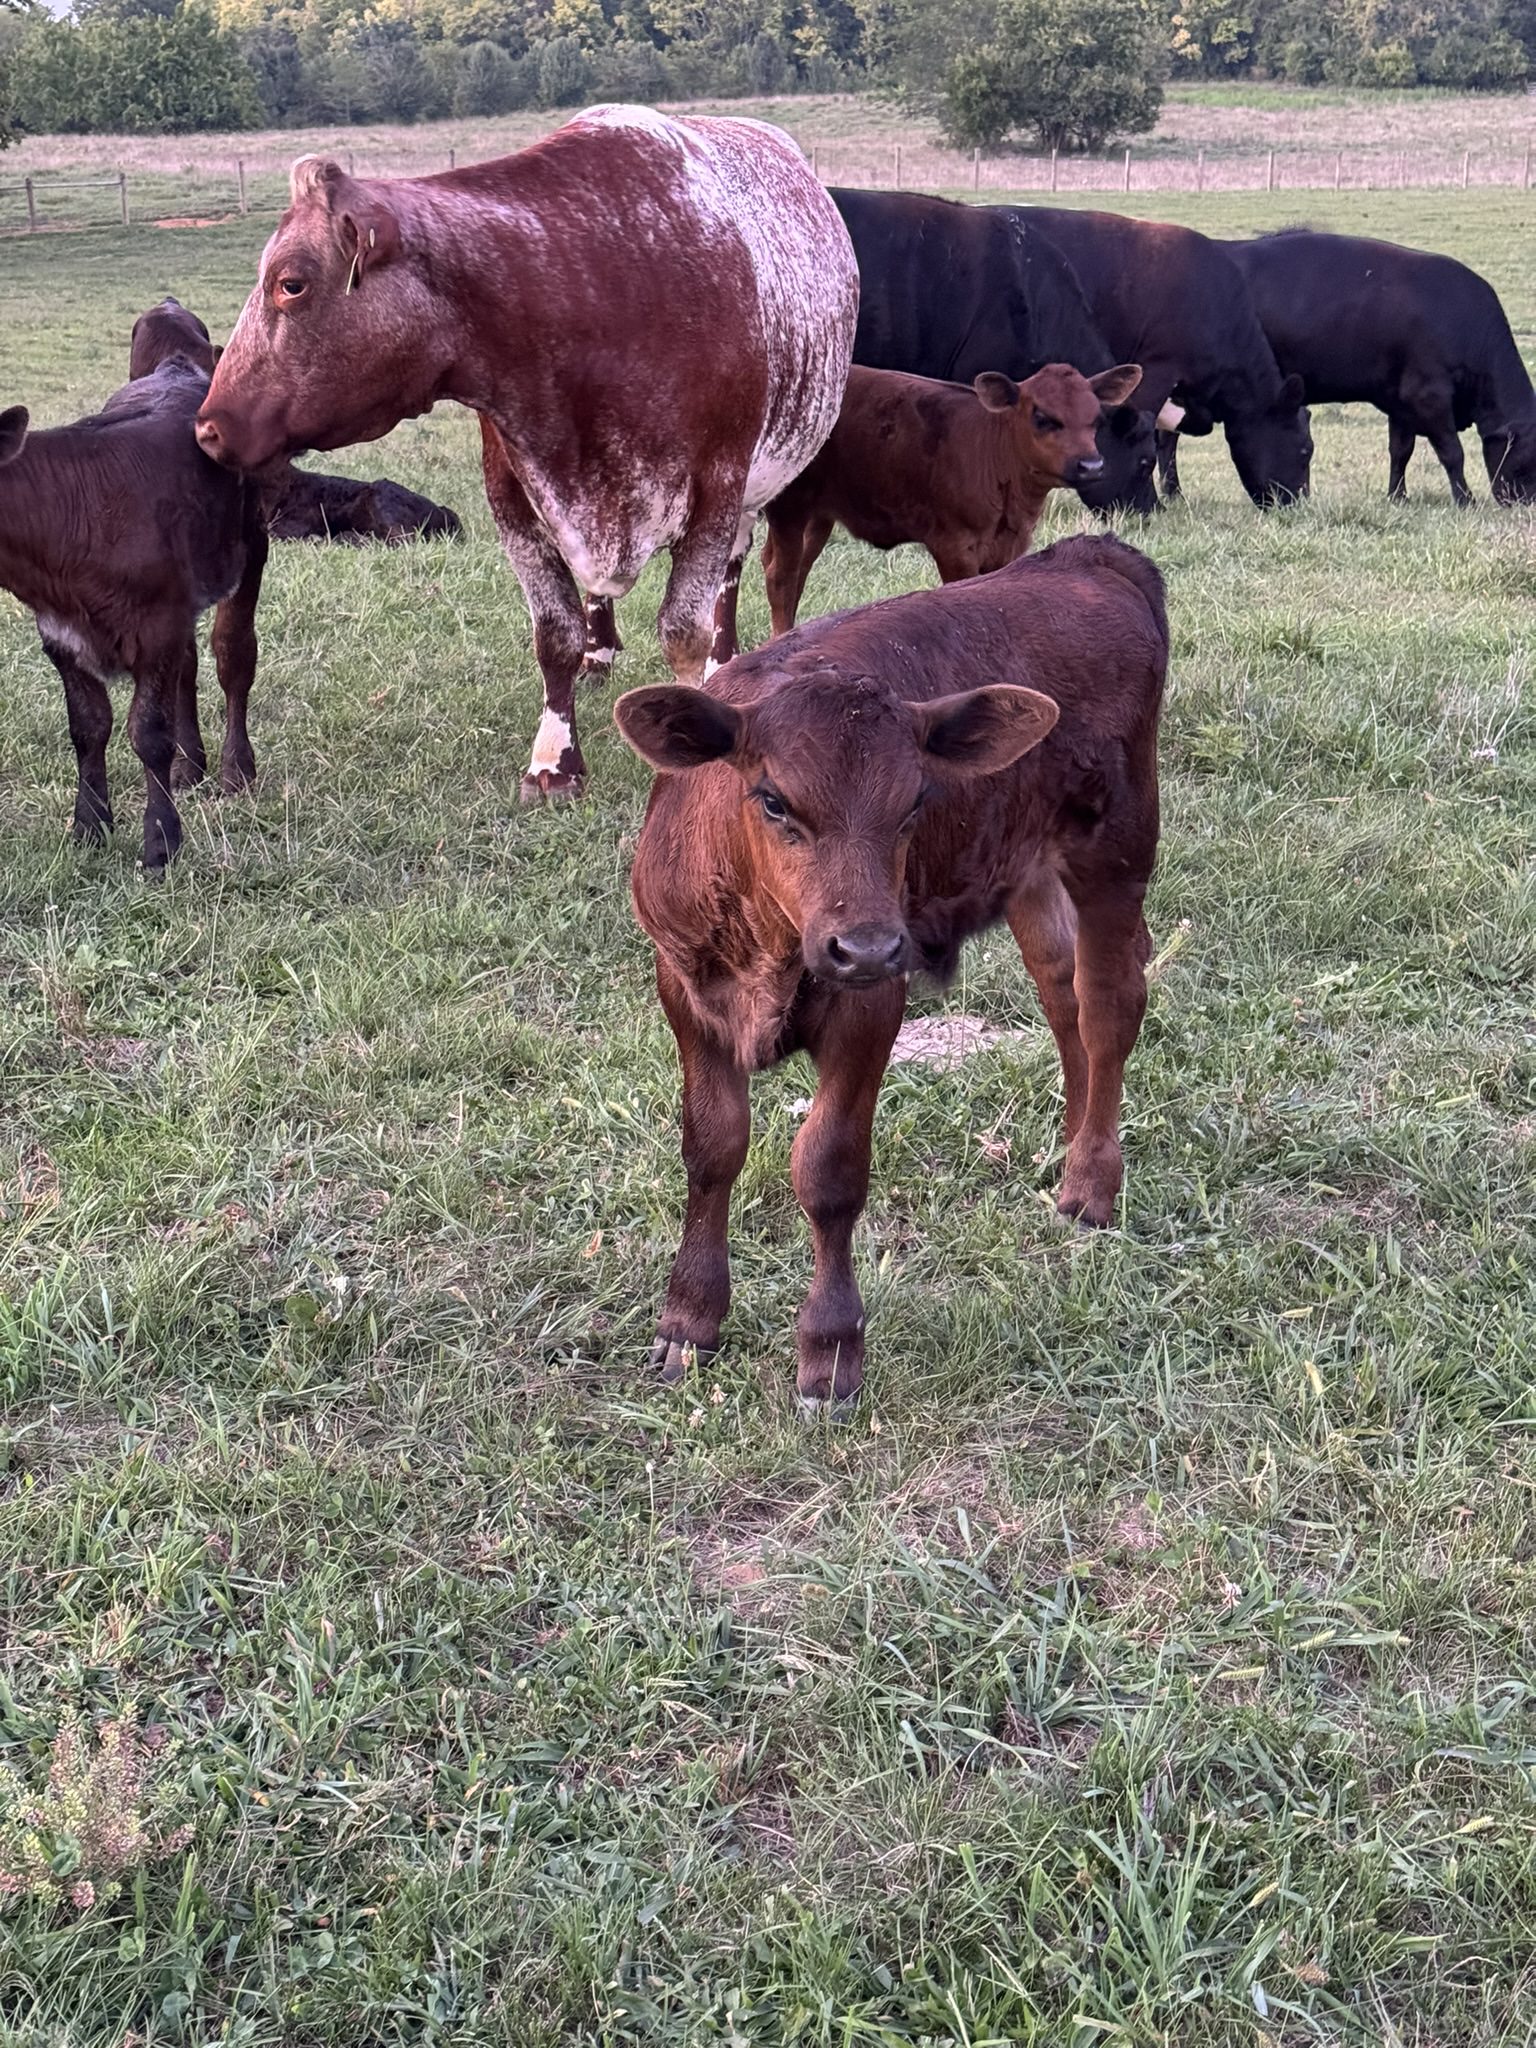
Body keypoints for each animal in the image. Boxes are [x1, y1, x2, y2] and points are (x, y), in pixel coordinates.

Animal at [0, 299, 267, 870]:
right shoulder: (60, 634)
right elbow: (87, 728)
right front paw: (89, 825)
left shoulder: (157, 624)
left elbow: (148, 733)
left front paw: (161, 841)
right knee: (189, 666)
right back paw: (190, 766)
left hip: (252, 544)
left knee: (233, 656)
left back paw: (236, 769)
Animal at [194, 106, 859, 803]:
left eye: (290, 284)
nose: (208, 427)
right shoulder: (513, 495)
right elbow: (554, 634)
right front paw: (554, 758)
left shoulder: (718, 488)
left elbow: (685, 629)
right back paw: (600, 649)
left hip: (757, 486)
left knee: (729, 576)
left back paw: (725, 660)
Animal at [614, 531, 1167, 1411]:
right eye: (773, 800)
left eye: (914, 802)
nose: (867, 946)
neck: (769, 944)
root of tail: (1089, 556)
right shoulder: (684, 986)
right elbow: (711, 1146)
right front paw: (690, 1318)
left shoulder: (872, 1004)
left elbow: (829, 1168)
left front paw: (831, 1351)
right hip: (1026, 867)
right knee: (1063, 996)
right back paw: (1069, 1143)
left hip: (1116, 845)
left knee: (1111, 1003)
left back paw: (1091, 1183)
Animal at [760, 360, 1142, 635]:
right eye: (1042, 417)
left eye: (1096, 420)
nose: (1091, 465)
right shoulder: (954, 546)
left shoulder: (1010, 547)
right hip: (789, 504)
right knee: (781, 575)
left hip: (819, 514)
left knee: (793, 569)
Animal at [1157, 229, 1536, 507]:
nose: (1526, 503)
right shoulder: (1429, 395)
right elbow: (1452, 452)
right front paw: (1465, 500)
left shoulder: (1400, 400)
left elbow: (1400, 451)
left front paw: (1397, 497)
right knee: (1167, 439)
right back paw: (1173, 492)